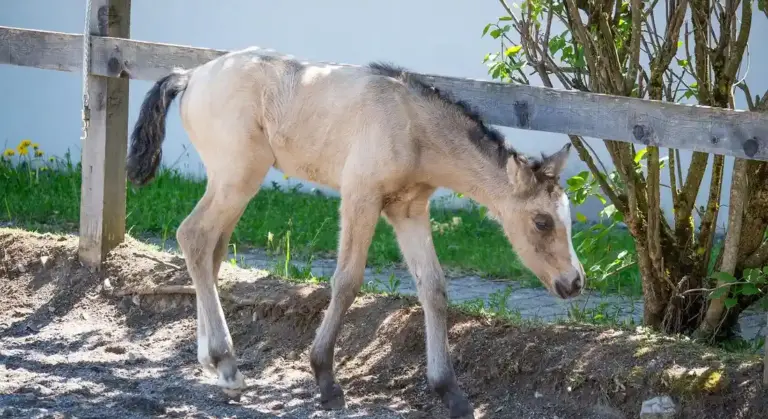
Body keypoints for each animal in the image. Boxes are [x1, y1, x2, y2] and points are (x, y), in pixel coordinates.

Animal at [126, 47, 586, 418]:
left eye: (568, 218)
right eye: (542, 222)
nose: (575, 283)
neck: (412, 125)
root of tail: (191, 75)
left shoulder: (408, 210)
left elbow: (434, 289)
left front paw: (450, 393)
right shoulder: (360, 196)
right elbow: (347, 281)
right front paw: (326, 379)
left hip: (230, 182)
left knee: (211, 248)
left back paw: (211, 362)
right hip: (238, 176)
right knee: (194, 237)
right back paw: (226, 362)